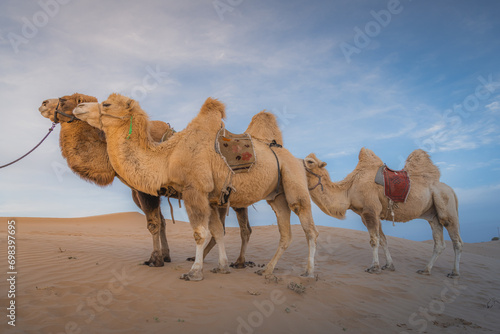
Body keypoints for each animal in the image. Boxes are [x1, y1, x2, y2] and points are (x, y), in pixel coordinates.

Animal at [38, 93, 254, 268]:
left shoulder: (145, 190)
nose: (43, 103)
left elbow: (153, 224)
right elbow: (162, 222)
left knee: (241, 228)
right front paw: (165, 256)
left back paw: (238, 262)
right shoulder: (141, 190)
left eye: (64, 99)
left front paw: (155, 260)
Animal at [72, 92, 318, 280]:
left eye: (106, 104)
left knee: (309, 228)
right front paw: (222, 266)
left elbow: (200, 233)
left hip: (294, 182)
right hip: (277, 196)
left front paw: (194, 271)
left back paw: (309, 273)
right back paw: (267, 271)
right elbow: (217, 231)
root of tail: (298, 160)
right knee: (285, 233)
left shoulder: (195, 190)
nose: (79, 107)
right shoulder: (210, 197)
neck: (168, 157)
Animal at [304, 148, 464, 276]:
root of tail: (452, 191)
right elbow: (383, 240)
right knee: (439, 243)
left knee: (456, 240)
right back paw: (425, 270)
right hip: (432, 215)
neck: (349, 189)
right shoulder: (367, 215)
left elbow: (374, 240)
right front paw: (389, 265)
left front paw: (374, 267)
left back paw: (454, 273)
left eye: (310, 161)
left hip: (446, 203)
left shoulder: (370, 211)